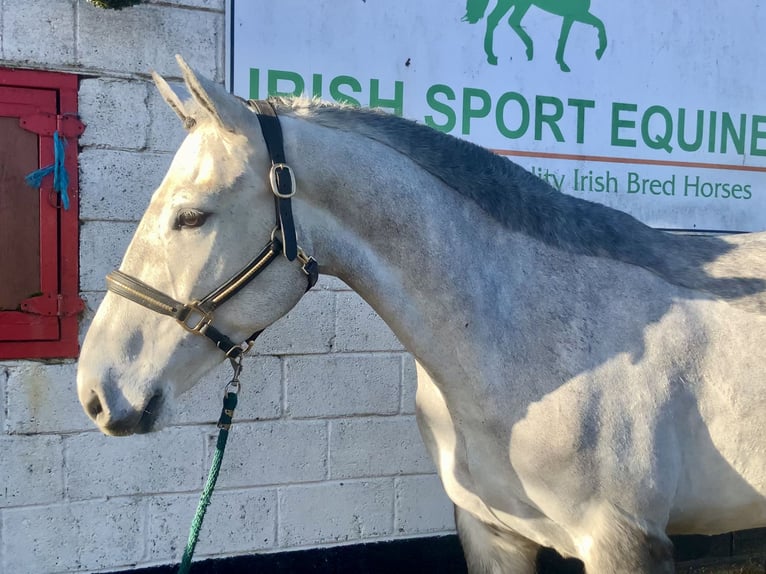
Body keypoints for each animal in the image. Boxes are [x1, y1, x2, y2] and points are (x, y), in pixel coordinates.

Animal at [462, 0, 608, 72]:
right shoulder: (574, 14)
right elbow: (600, 24)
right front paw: (599, 51)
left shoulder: (571, 15)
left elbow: (564, 37)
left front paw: (560, 61)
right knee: (497, 19)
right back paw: (492, 56)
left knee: (509, 20)